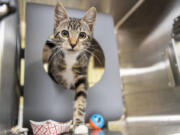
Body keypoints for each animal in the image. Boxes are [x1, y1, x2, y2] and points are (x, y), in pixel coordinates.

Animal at [47, 2, 96, 134]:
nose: (73, 44)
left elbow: (81, 100)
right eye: (65, 33)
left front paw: (79, 125)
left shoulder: (82, 76)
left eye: (82, 35)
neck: (70, 59)